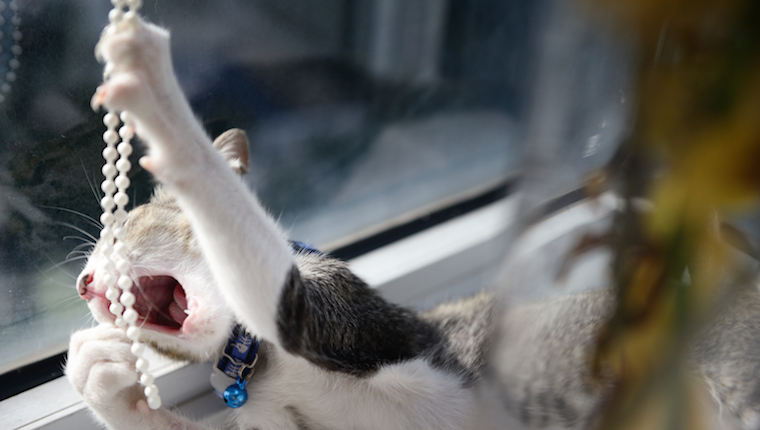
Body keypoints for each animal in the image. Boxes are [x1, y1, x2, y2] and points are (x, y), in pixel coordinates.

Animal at [62, 13, 760, 430]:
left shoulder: (356, 318)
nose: (83, 283)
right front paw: (103, 377)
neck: (256, 367)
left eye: (118, 233)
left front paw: (154, 89)